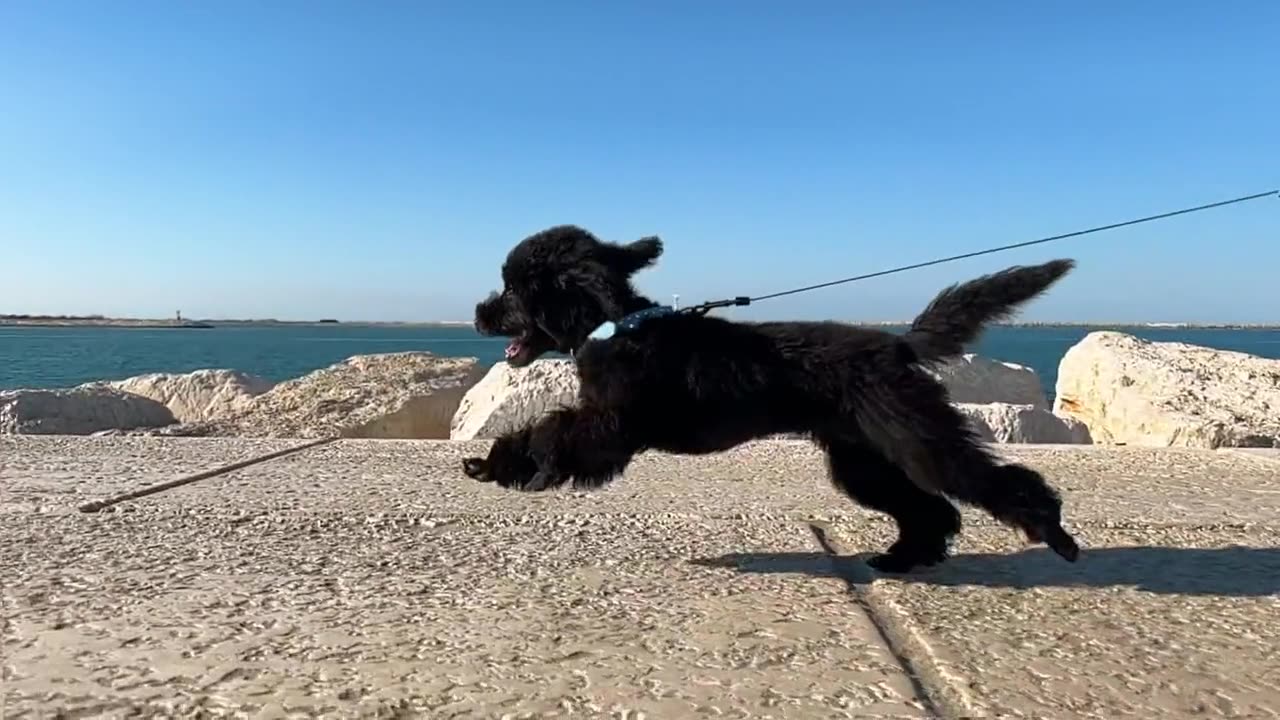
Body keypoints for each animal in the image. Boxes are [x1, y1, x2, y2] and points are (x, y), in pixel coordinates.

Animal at [460, 224, 1080, 571]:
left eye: (514, 288)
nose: (478, 313)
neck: (617, 326)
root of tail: (899, 345)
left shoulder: (609, 427)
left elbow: (551, 433)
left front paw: (520, 467)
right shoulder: (603, 424)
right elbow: (540, 432)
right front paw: (494, 465)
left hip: (917, 438)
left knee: (992, 482)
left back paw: (1055, 535)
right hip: (865, 458)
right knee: (931, 509)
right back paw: (902, 559)